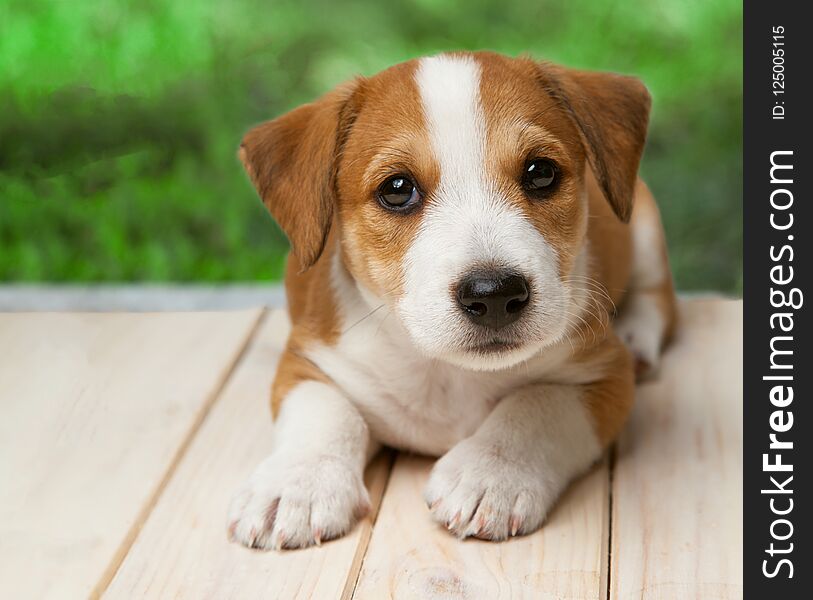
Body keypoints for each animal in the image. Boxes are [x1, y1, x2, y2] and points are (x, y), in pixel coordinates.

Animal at [225, 50, 676, 548]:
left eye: (541, 172)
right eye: (397, 189)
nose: (494, 295)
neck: (448, 373)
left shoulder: (603, 373)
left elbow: (539, 404)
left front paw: (491, 474)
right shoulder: (309, 360)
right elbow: (324, 411)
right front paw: (297, 483)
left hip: (645, 227)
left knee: (659, 298)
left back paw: (636, 335)